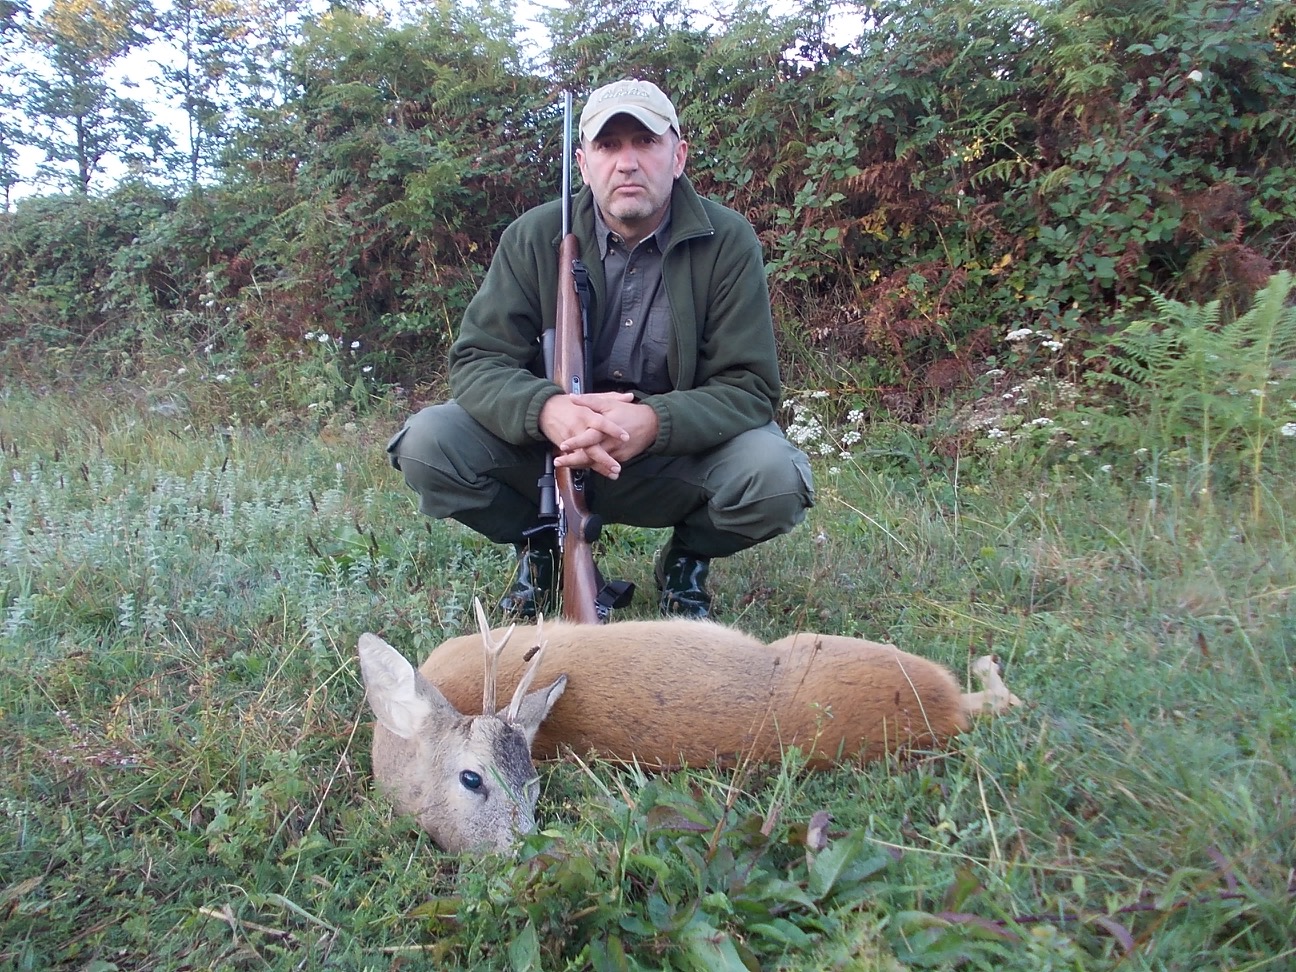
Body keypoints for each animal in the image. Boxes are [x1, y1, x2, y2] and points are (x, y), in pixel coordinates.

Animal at [357, 601, 1021, 853]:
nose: (525, 856)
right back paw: (986, 663)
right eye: (473, 779)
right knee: (1000, 699)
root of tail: (942, 711)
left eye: (535, 788)